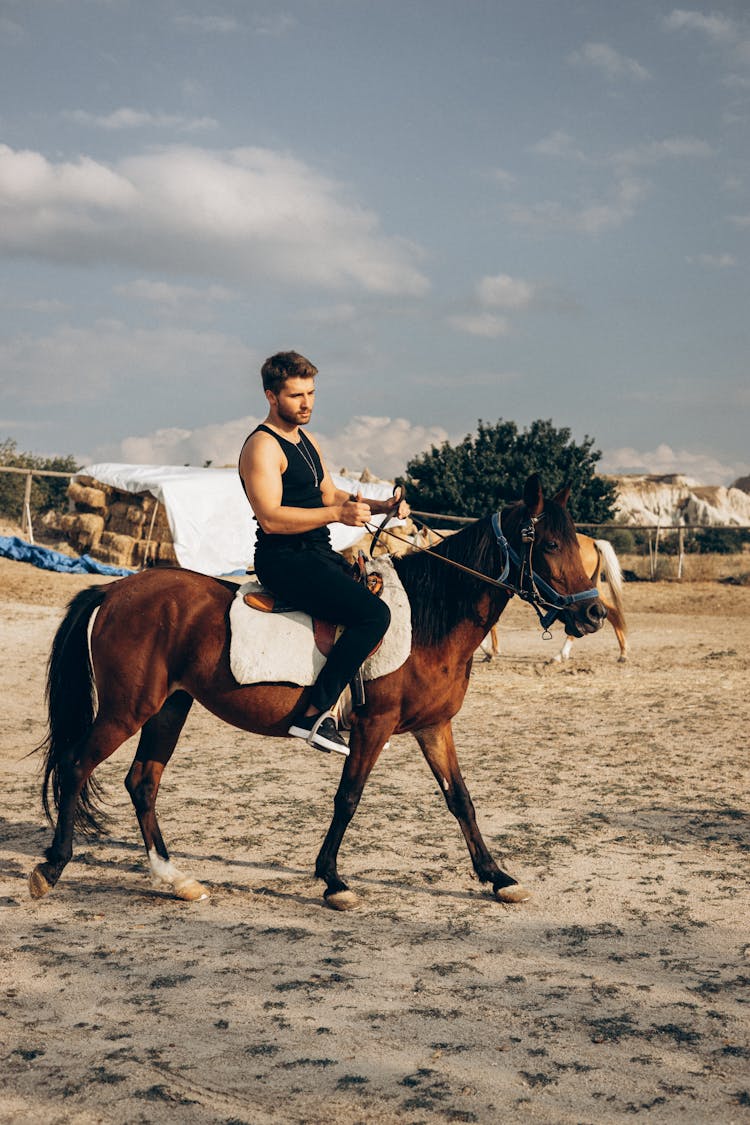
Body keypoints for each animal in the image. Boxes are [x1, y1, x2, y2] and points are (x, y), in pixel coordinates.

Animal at [29, 470, 607, 909]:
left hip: (169, 708)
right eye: (550, 544)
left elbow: (460, 799)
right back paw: (52, 867)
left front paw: (497, 877)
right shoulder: (374, 727)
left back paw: (174, 879)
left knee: (142, 783)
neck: (428, 620)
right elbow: (348, 798)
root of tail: (114, 590)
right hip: (127, 709)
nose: (594, 614)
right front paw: (332, 880)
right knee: (77, 765)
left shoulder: (433, 727)